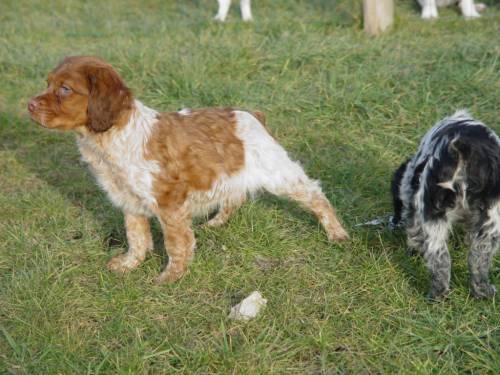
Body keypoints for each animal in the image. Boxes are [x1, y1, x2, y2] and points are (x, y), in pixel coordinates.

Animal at [28, 56, 348, 282]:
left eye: (65, 89)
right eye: (48, 83)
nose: (29, 104)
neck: (112, 139)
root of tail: (252, 115)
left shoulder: (170, 202)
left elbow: (176, 244)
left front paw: (170, 277)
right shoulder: (129, 201)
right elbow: (137, 239)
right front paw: (129, 265)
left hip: (280, 173)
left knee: (316, 196)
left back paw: (338, 235)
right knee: (235, 197)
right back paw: (216, 223)